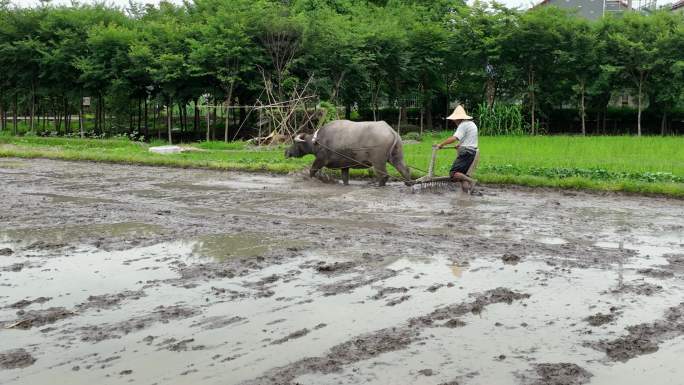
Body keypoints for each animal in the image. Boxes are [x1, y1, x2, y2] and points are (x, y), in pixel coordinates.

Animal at [284, 120, 412, 186]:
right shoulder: (344, 165)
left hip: (378, 161)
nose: (286, 152)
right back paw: (409, 183)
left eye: (295, 143)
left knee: (383, 175)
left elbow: (312, 171)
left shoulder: (320, 159)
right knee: (405, 169)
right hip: (396, 156)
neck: (318, 141)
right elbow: (345, 178)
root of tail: (391, 131)